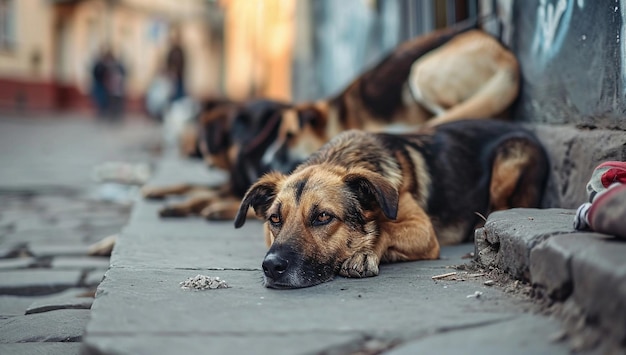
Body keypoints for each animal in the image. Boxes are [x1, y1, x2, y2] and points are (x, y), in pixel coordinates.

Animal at [234, 119, 544, 290]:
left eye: (322, 217)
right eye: (275, 219)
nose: (271, 267)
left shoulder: (423, 230)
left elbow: (385, 228)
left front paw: (364, 252)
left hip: (511, 155)